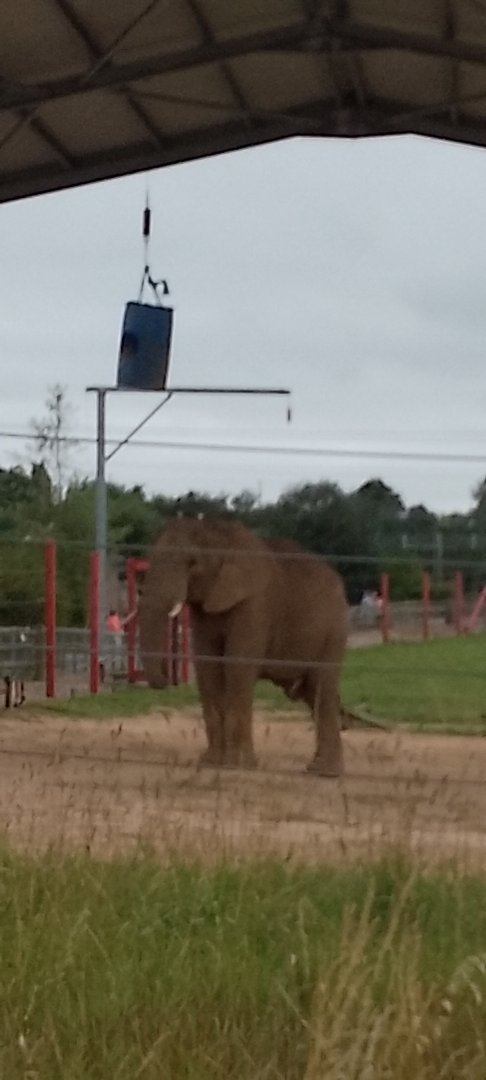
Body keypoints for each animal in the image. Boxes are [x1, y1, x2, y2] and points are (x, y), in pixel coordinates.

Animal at [138, 517, 348, 776]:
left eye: (193, 562)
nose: (167, 679)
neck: (219, 531)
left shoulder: (254, 604)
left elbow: (237, 667)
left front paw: (237, 765)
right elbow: (208, 669)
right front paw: (210, 763)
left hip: (334, 629)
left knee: (322, 689)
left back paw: (326, 772)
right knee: (312, 694)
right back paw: (318, 768)